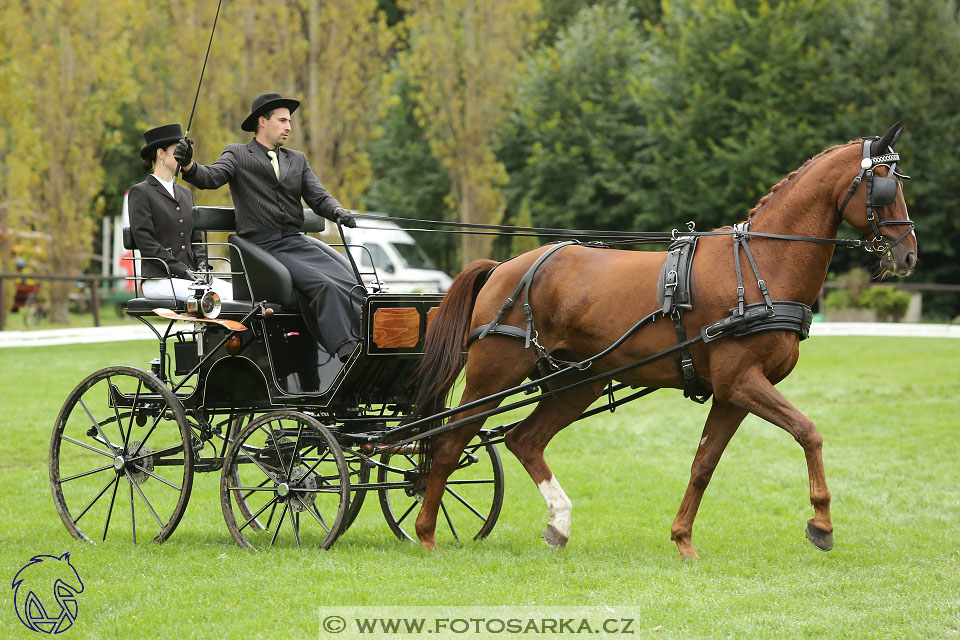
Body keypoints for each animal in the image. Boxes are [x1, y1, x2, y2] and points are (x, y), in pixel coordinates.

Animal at [410, 124, 916, 556]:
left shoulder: (732, 392)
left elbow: (704, 464)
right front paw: (822, 524)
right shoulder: (741, 382)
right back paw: (427, 533)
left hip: (579, 381)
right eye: (885, 187)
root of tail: (503, 267)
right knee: (449, 442)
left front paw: (682, 539)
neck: (760, 265)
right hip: (494, 375)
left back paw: (559, 523)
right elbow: (808, 432)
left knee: (524, 439)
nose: (908, 254)